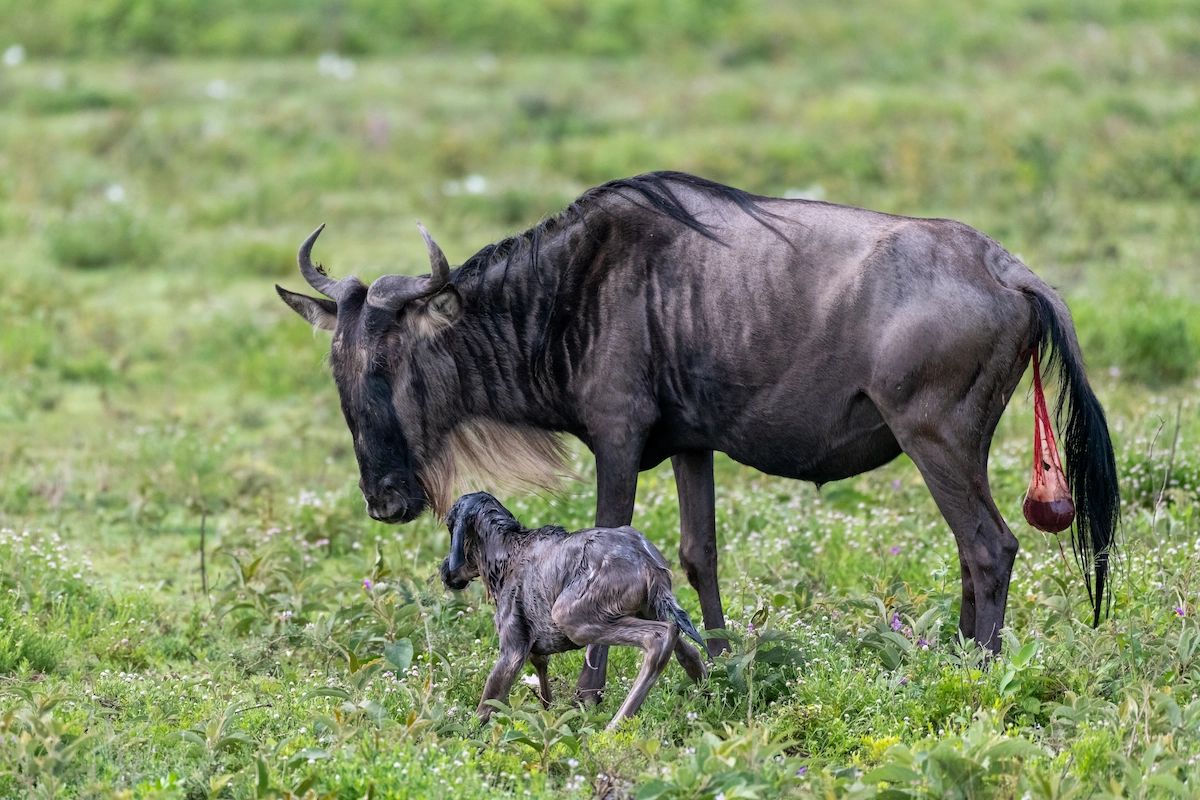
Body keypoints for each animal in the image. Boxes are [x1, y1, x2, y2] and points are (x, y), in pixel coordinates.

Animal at [441, 491, 705, 729]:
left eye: (450, 527)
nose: (445, 570)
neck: (505, 555)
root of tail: (648, 562)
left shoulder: (512, 650)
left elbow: (486, 706)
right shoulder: (535, 646)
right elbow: (543, 684)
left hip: (573, 618)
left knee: (661, 636)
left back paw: (614, 726)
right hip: (647, 609)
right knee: (689, 650)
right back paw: (707, 701)